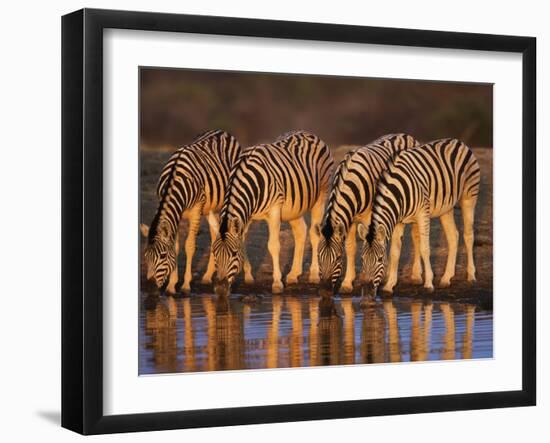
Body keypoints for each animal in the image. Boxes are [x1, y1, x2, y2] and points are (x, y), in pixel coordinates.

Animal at [140, 130, 244, 296]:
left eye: (162, 256)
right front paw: (171, 285)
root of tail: (222, 131)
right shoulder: (176, 214)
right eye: (145, 255)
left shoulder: (196, 209)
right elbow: (175, 246)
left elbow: (189, 245)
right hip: (209, 209)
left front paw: (185, 285)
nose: (150, 290)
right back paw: (207, 276)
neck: (175, 179)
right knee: (215, 234)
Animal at [211, 130, 334, 294]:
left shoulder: (275, 209)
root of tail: (310, 134)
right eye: (214, 253)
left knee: (314, 234)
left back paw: (313, 275)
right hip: (294, 208)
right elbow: (242, 241)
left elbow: (273, 245)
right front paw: (249, 277)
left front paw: (276, 283)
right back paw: (293, 274)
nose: (220, 289)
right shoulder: (247, 215)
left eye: (234, 253)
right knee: (301, 231)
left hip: (321, 196)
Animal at [314, 134, 422, 296]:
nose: (324, 292)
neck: (352, 183)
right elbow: (351, 247)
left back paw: (416, 275)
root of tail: (406, 135)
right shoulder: (350, 219)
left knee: (416, 237)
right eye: (318, 257)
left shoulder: (369, 217)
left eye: (338, 258)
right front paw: (347, 283)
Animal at [358, 137, 484, 300]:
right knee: (453, 236)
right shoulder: (398, 220)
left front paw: (429, 283)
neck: (398, 192)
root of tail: (458, 142)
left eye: (380, 259)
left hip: (469, 196)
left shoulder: (423, 212)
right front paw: (389, 286)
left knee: (468, 235)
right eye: (362, 259)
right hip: (446, 208)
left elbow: (425, 248)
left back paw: (471, 276)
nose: (367, 294)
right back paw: (446, 278)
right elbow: (395, 252)